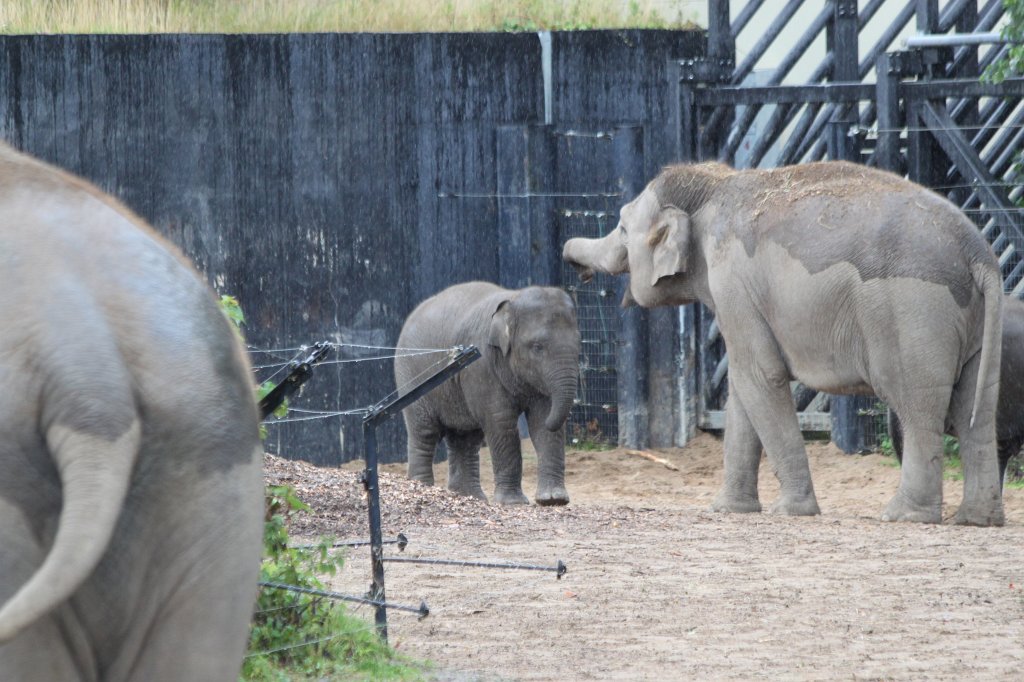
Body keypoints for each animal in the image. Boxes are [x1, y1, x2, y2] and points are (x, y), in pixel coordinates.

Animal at [395, 282, 580, 505]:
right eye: (537, 347)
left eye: (579, 345)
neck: (513, 298)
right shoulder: (480, 365)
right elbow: (501, 421)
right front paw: (513, 503)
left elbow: (541, 418)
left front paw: (553, 499)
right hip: (412, 376)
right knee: (424, 432)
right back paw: (422, 487)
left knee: (466, 438)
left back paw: (470, 497)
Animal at [563, 160, 1004, 525]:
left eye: (622, 229)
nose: (570, 257)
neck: (712, 185)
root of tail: (978, 253)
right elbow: (743, 389)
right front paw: (729, 510)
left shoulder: (732, 282)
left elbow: (760, 376)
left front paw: (789, 511)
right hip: (975, 322)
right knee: (978, 409)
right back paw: (978, 520)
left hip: (912, 313)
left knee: (917, 406)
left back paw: (903, 516)